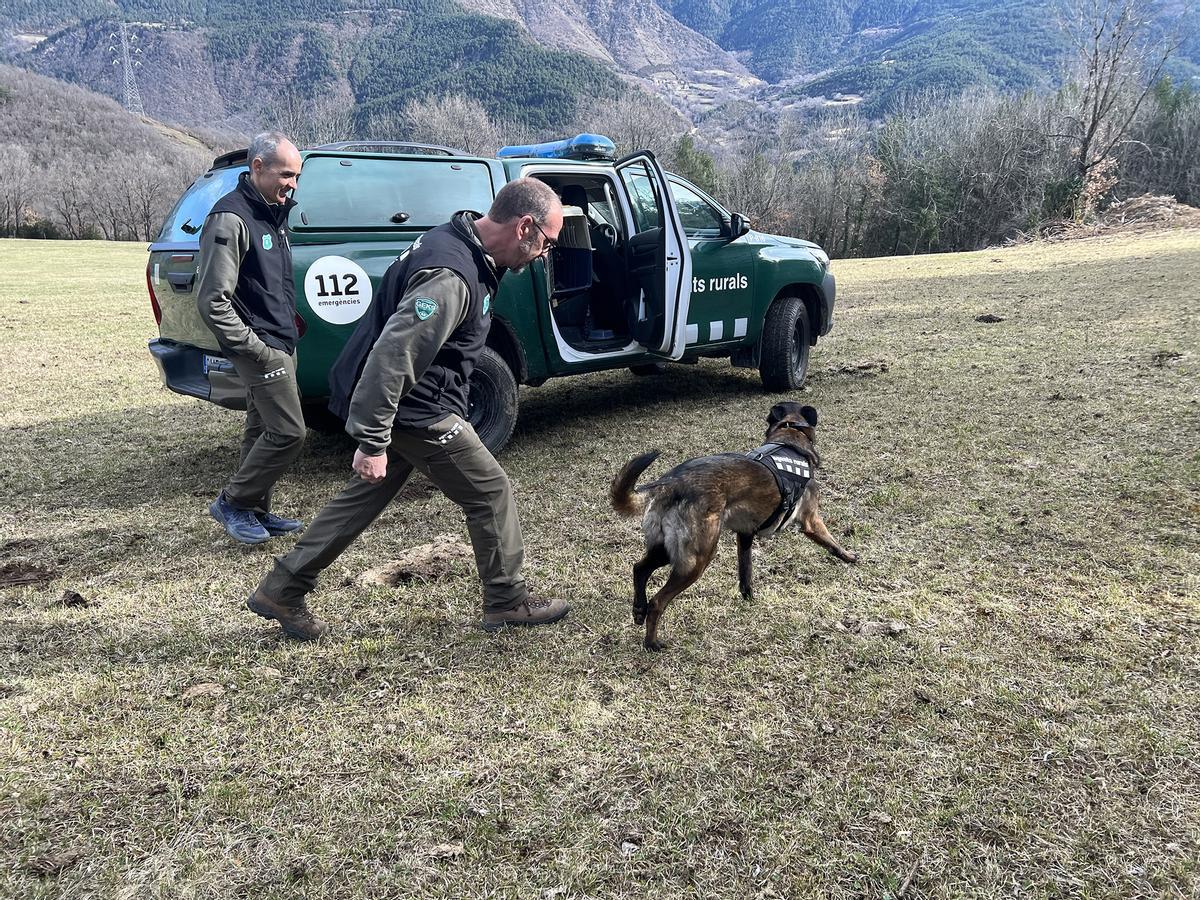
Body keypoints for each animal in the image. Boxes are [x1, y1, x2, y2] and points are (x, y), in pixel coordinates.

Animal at [614, 400, 859, 648]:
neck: (789, 434)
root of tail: (670, 483)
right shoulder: (811, 520)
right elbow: (832, 542)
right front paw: (849, 556)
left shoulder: (745, 535)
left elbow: (745, 572)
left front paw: (748, 597)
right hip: (697, 558)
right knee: (658, 601)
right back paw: (652, 642)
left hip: (667, 548)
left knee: (639, 568)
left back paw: (638, 610)